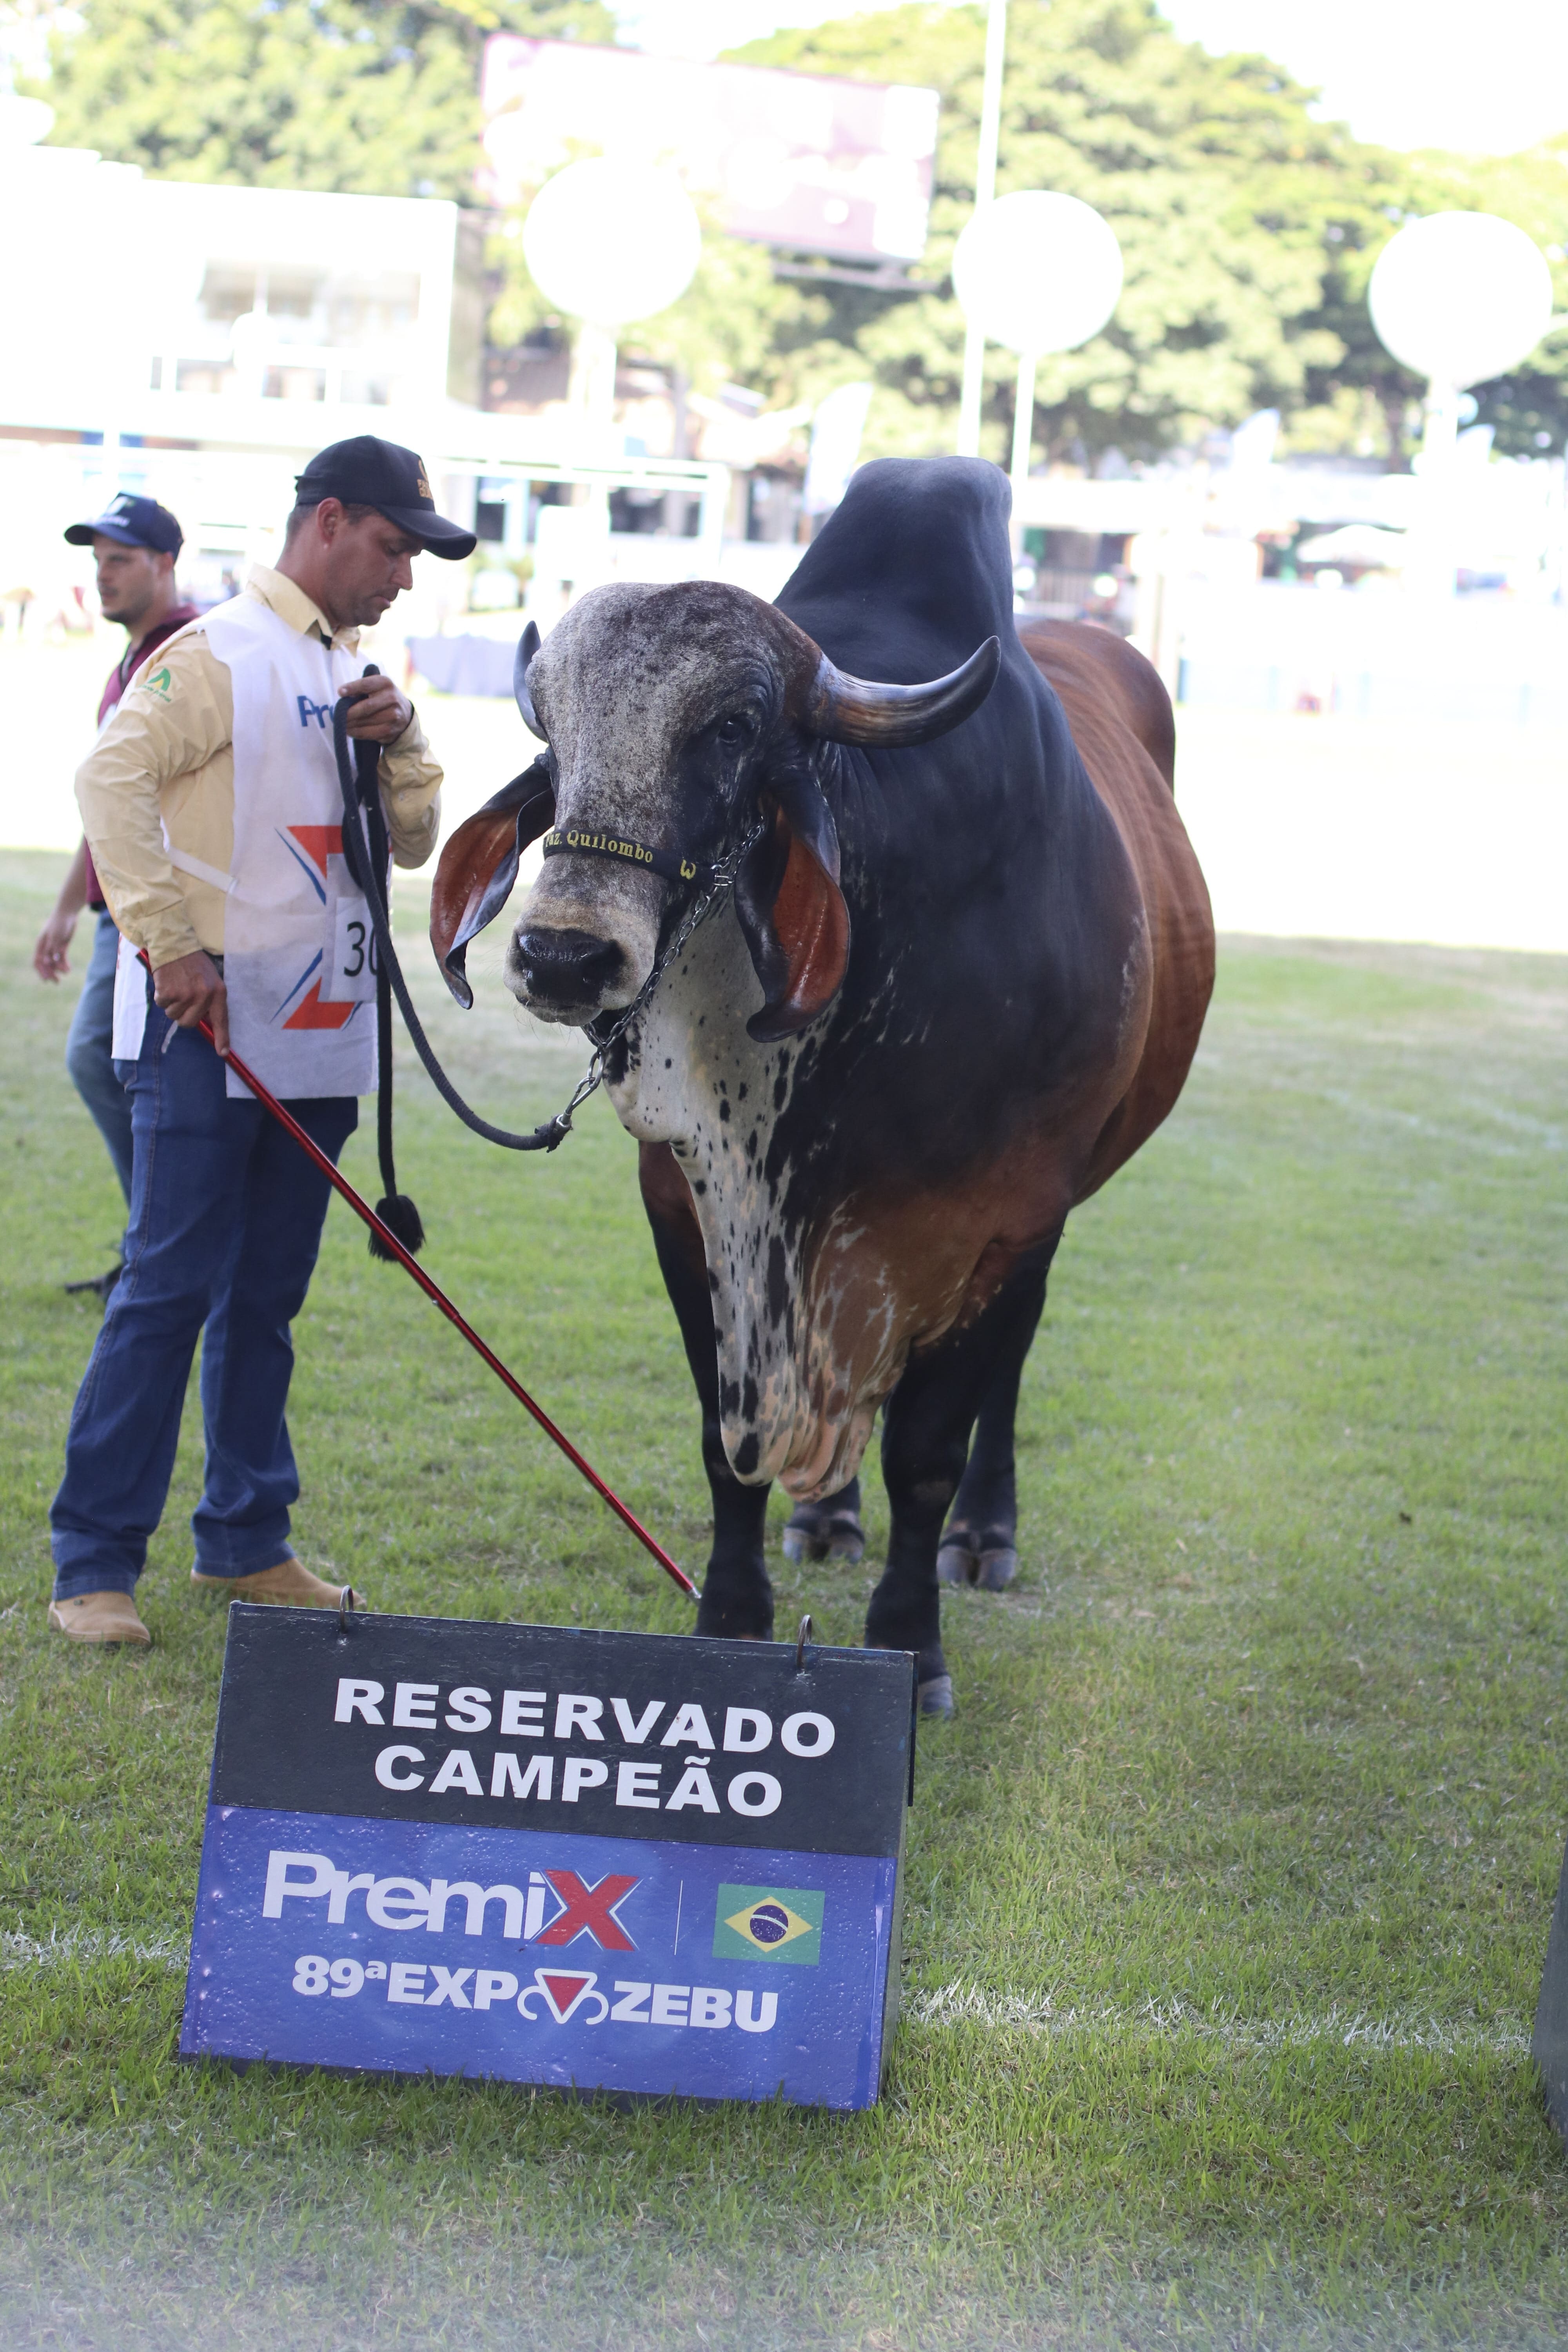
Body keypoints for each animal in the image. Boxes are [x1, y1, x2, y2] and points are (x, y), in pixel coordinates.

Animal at [430, 454, 1213, 1712]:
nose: (562, 957)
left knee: (1007, 1371)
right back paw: (829, 1514)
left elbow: (928, 1449)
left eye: (733, 726)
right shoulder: (684, 1202)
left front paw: (912, 1643)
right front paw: (733, 1613)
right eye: (550, 737)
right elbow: (725, 1437)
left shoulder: (1002, 1220)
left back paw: (984, 1532)